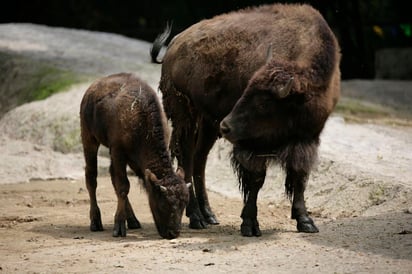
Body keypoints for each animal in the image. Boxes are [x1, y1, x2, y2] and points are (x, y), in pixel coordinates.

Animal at [80, 72, 190, 238]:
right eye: (163, 203)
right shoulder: (118, 152)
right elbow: (123, 186)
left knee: (111, 177)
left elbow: (122, 183)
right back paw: (95, 222)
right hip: (89, 139)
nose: (173, 233)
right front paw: (119, 227)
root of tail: (90, 90)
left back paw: (132, 220)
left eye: (184, 204)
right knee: (91, 177)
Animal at [151, 3, 342, 237]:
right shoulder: (252, 145)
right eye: (245, 91)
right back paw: (196, 217)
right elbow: (256, 180)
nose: (227, 126)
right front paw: (250, 224)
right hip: (186, 116)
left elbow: (299, 178)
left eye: (264, 103)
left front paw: (305, 221)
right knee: (186, 161)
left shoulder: (306, 140)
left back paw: (209, 215)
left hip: (208, 125)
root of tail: (174, 45)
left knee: (199, 160)